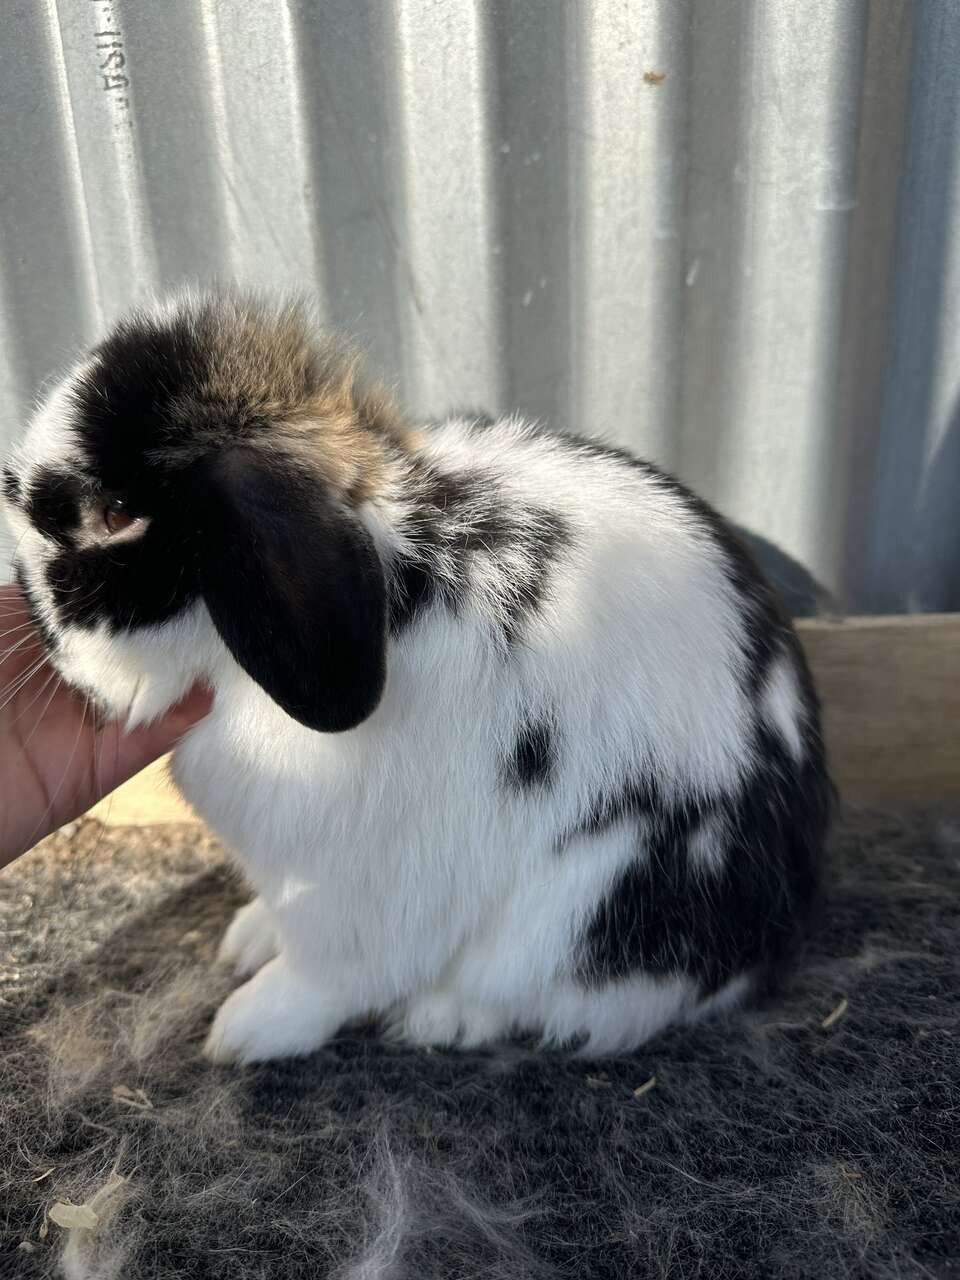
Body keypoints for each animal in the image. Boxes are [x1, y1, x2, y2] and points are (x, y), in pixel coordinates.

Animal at [1, 294, 834, 1064]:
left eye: (113, 513)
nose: (29, 605)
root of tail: (773, 933)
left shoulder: (357, 894)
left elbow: (323, 978)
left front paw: (244, 1030)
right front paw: (247, 938)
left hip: (583, 911)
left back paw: (442, 1018)